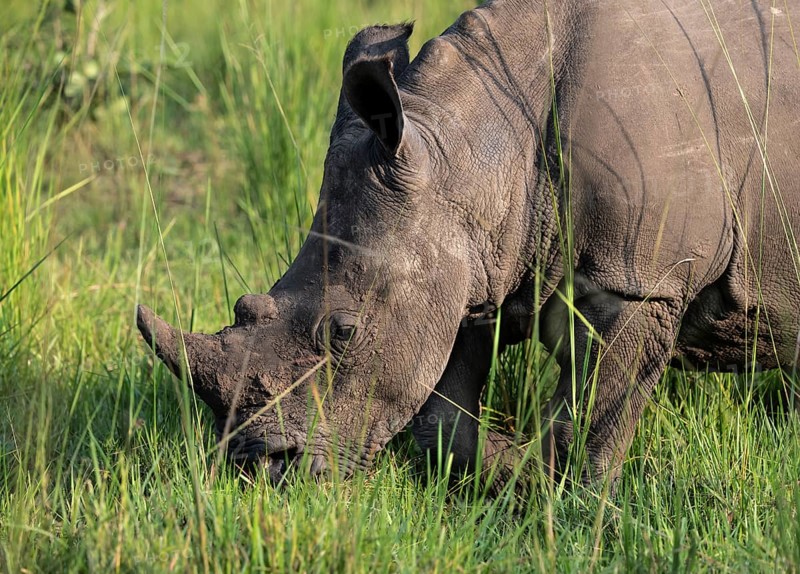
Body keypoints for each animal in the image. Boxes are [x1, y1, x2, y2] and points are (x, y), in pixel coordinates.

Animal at [137, 0, 800, 488]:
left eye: (343, 332)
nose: (258, 470)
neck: (477, 146)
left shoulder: (641, 280)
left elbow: (592, 425)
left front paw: (576, 507)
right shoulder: (472, 260)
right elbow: (441, 420)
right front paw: (524, 476)